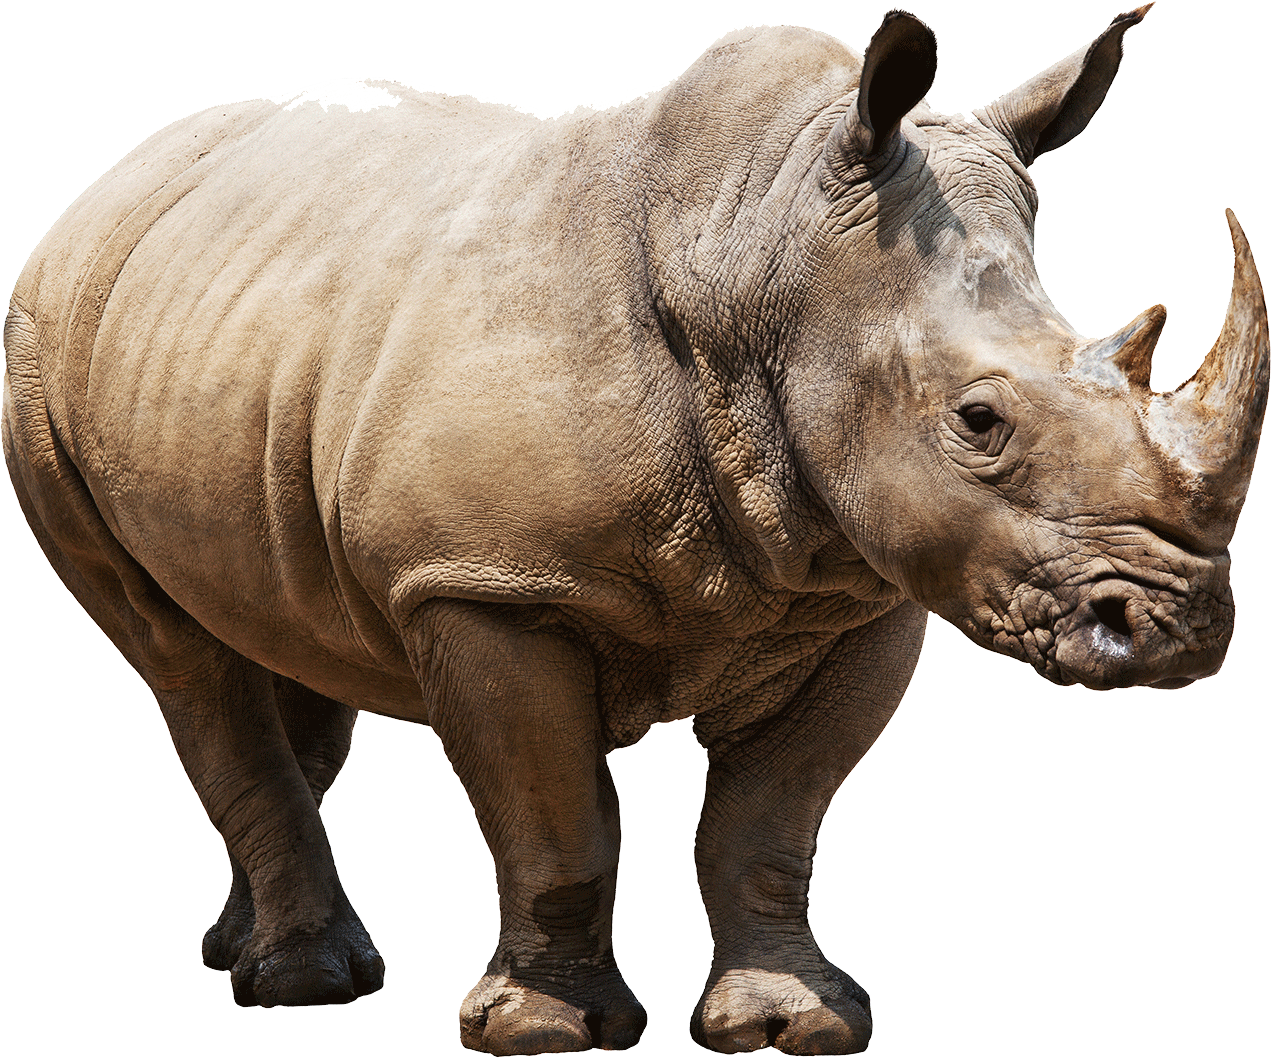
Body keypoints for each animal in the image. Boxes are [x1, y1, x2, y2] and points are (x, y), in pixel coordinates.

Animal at [3, 3, 1265, 1053]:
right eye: (978, 420)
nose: (1173, 630)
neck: (767, 256)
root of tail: (116, 178)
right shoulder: (483, 580)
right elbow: (554, 817)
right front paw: (543, 1032)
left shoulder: (866, 592)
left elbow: (768, 821)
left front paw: (792, 1024)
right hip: (37, 355)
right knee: (179, 653)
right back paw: (308, 982)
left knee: (283, 637)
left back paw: (240, 950)